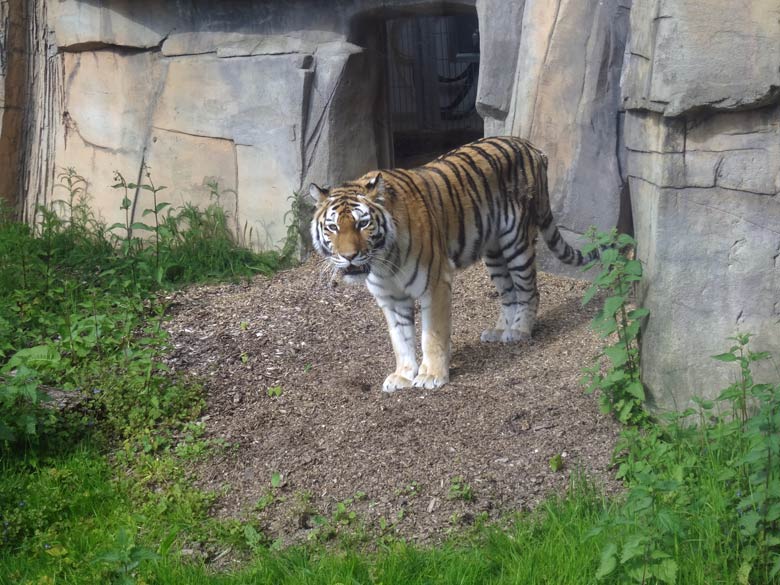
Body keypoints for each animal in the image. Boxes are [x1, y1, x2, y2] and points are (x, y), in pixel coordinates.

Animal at [308, 136, 596, 392]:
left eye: (363, 223)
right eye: (333, 227)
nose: (349, 255)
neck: (383, 263)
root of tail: (532, 147)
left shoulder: (435, 284)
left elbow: (432, 335)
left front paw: (431, 376)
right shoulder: (390, 298)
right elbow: (400, 339)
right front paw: (403, 376)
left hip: (517, 242)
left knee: (529, 291)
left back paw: (519, 331)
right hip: (494, 253)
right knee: (509, 293)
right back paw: (499, 330)